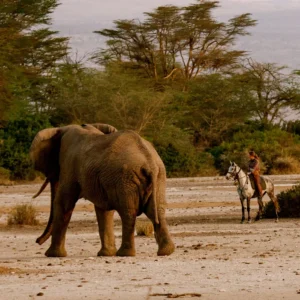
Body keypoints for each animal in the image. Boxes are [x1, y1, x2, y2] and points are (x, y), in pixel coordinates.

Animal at [29, 123, 175, 256]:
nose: (37, 241)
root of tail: (149, 162)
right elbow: (104, 210)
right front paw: (106, 254)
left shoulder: (69, 164)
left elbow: (64, 203)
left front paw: (52, 255)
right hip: (158, 176)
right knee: (158, 211)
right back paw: (166, 251)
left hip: (126, 180)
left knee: (128, 212)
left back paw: (125, 253)